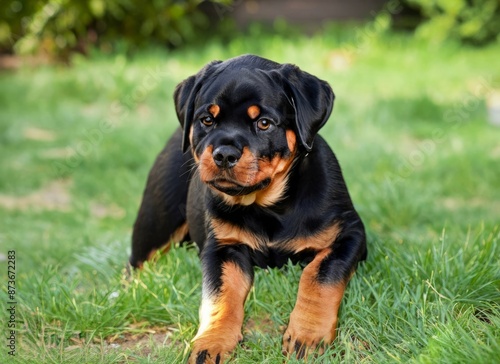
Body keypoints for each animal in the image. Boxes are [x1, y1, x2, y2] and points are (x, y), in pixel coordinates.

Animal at [131, 54, 366, 364]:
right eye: (207, 120)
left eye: (264, 123)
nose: (224, 154)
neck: (266, 206)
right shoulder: (222, 248)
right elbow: (221, 296)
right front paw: (212, 342)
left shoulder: (350, 234)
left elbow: (320, 275)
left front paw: (307, 335)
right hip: (155, 225)